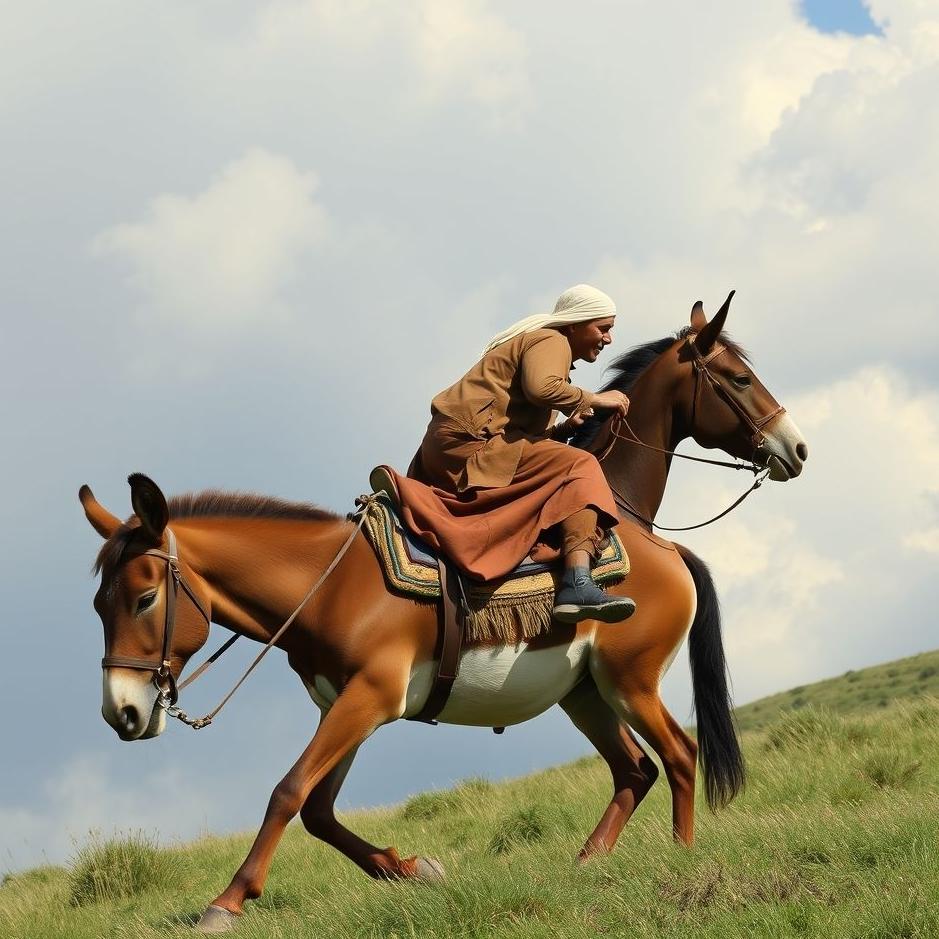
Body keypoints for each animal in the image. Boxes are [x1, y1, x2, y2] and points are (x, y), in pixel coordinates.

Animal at [80, 293, 807, 932]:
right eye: (739, 379)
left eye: (143, 597)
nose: (121, 712)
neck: (328, 581)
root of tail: (667, 551)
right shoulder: (348, 703)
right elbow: (316, 808)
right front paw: (412, 869)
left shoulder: (368, 698)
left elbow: (287, 793)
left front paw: (225, 903)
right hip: (588, 695)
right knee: (639, 768)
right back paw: (588, 864)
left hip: (629, 682)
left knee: (679, 756)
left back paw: (678, 860)